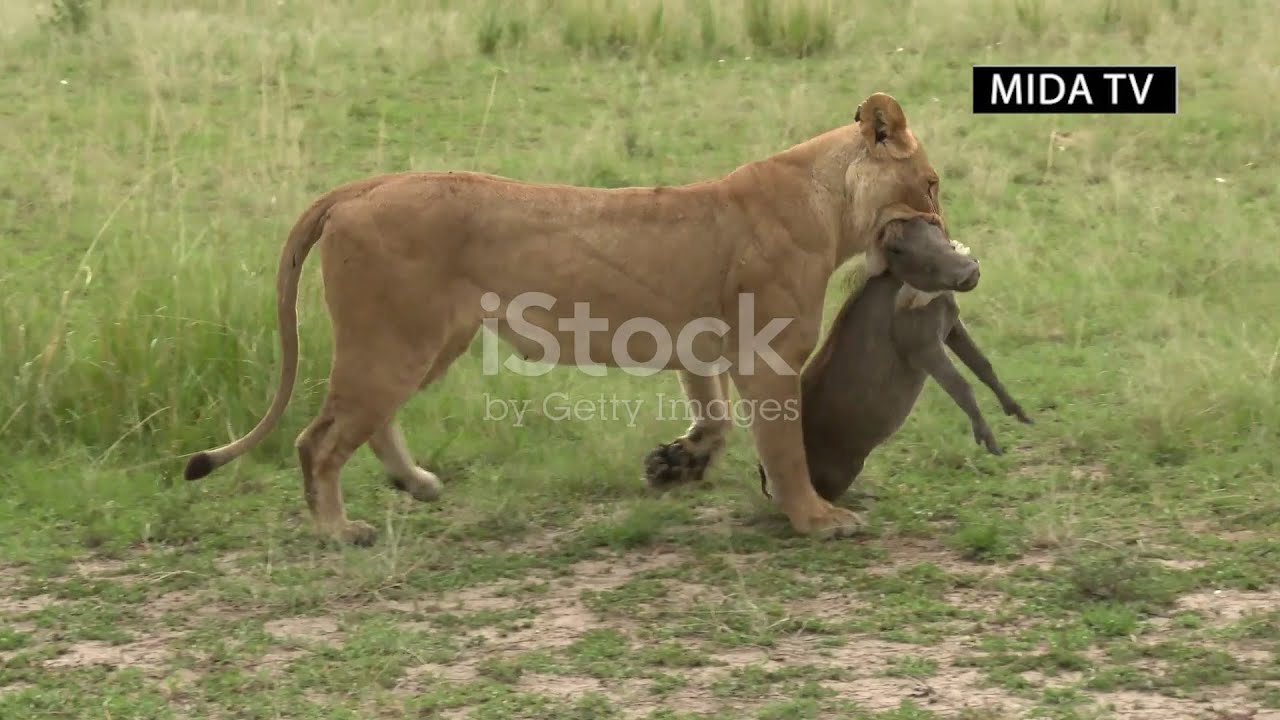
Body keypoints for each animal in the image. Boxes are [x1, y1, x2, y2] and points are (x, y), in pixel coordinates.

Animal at [181, 92, 951, 546]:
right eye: (933, 184)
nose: (947, 229)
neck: (830, 205)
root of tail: (364, 185)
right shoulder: (767, 357)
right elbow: (784, 448)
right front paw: (817, 520)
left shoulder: (705, 347)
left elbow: (717, 416)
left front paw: (677, 464)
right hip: (394, 341)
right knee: (317, 440)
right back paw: (339, 532)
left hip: (427, 342)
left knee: (366, 425)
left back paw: (416, 484)